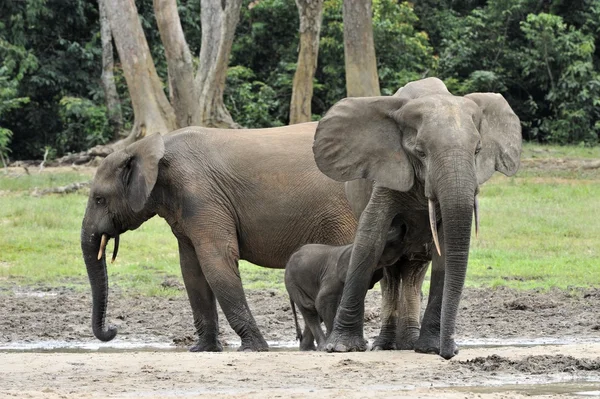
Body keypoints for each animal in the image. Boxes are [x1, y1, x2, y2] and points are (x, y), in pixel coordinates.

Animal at [79, 122, 356, 354]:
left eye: (99, 199)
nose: (113, 329)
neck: (147, 148)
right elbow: (191, 271)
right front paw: (203, 349)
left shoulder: (201, 195)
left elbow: (216, 262)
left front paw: (253, 349)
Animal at [312, 77, 524, 360]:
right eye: (421, 152)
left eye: (478, 150)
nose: (451, 352)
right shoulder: (388, 170)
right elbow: (370, 238)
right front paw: (342, 347)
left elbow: (445, 250)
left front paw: (431, 348)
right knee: (390, 273)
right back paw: (385, 345)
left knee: (414, 270)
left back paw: (409, 344)